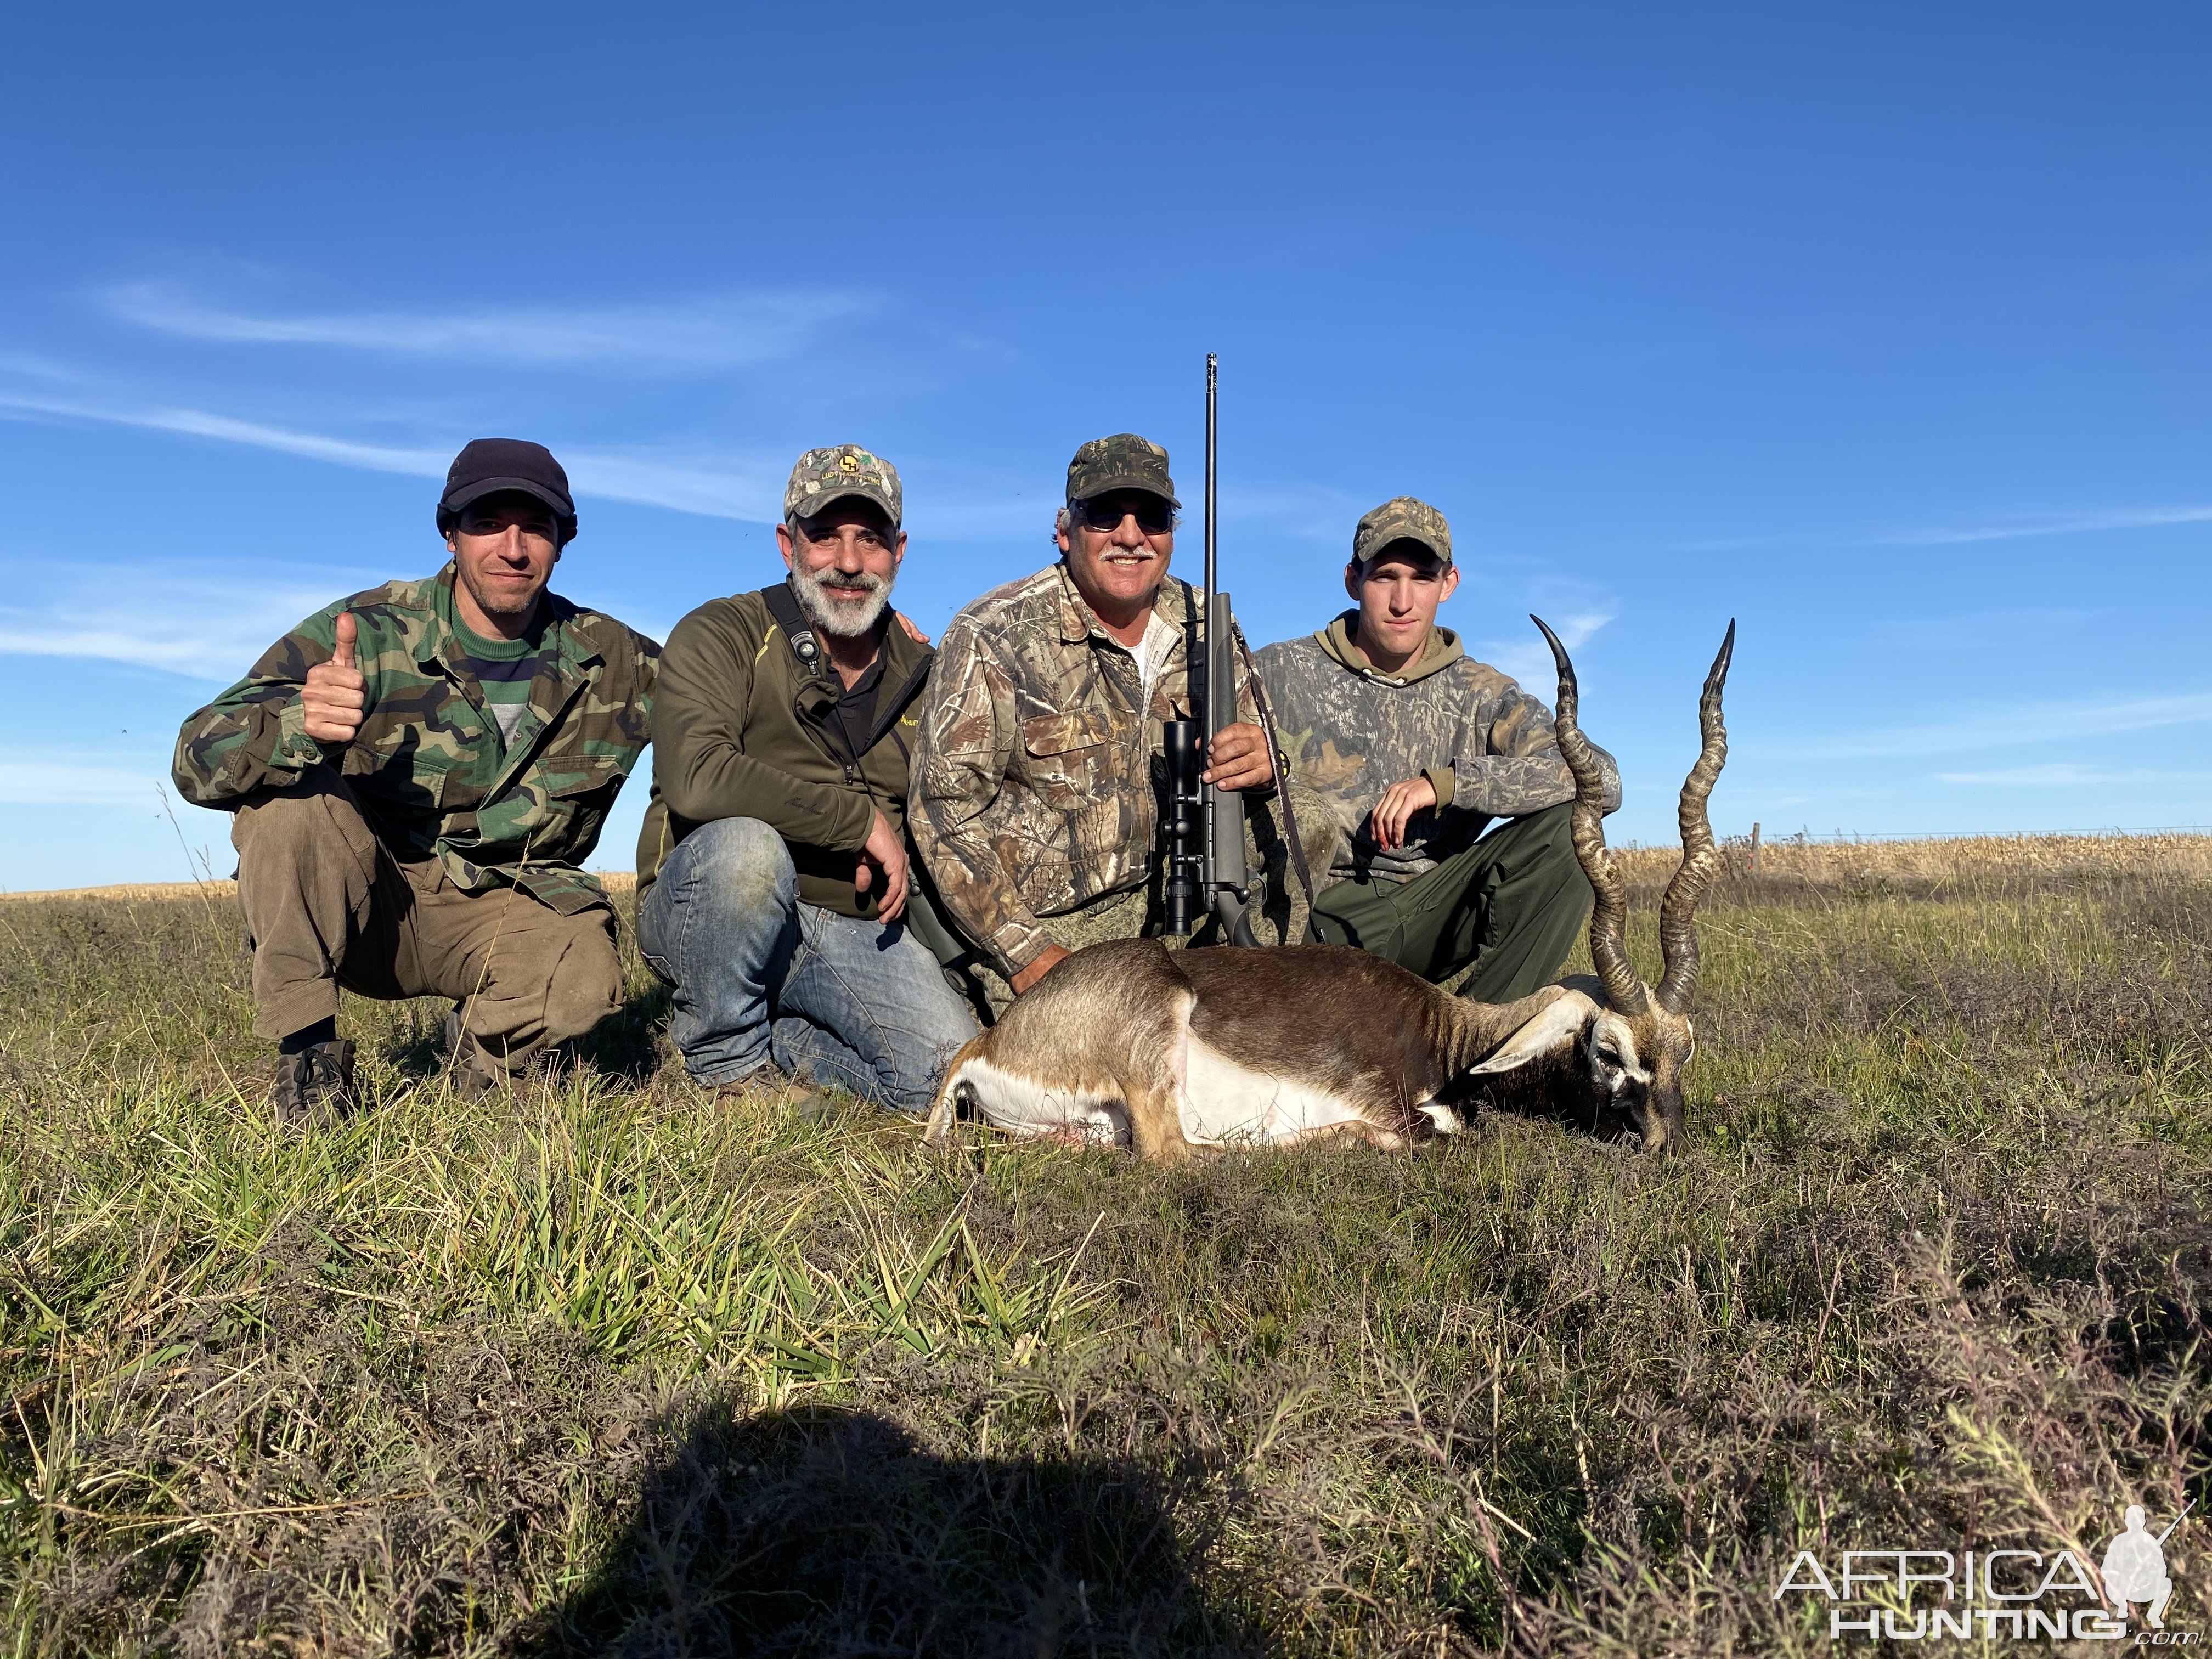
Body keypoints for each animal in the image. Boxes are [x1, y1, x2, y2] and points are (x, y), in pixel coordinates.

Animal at [924, 619, 1734, 1159]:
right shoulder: (1394, 1101)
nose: (1666, 1144)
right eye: (1609, 1052)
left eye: (1686, 1051)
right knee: (1179, 1158)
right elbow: (1428, 1128)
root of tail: (991, 1041)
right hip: (1157, 1041)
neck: (1449, 1036)